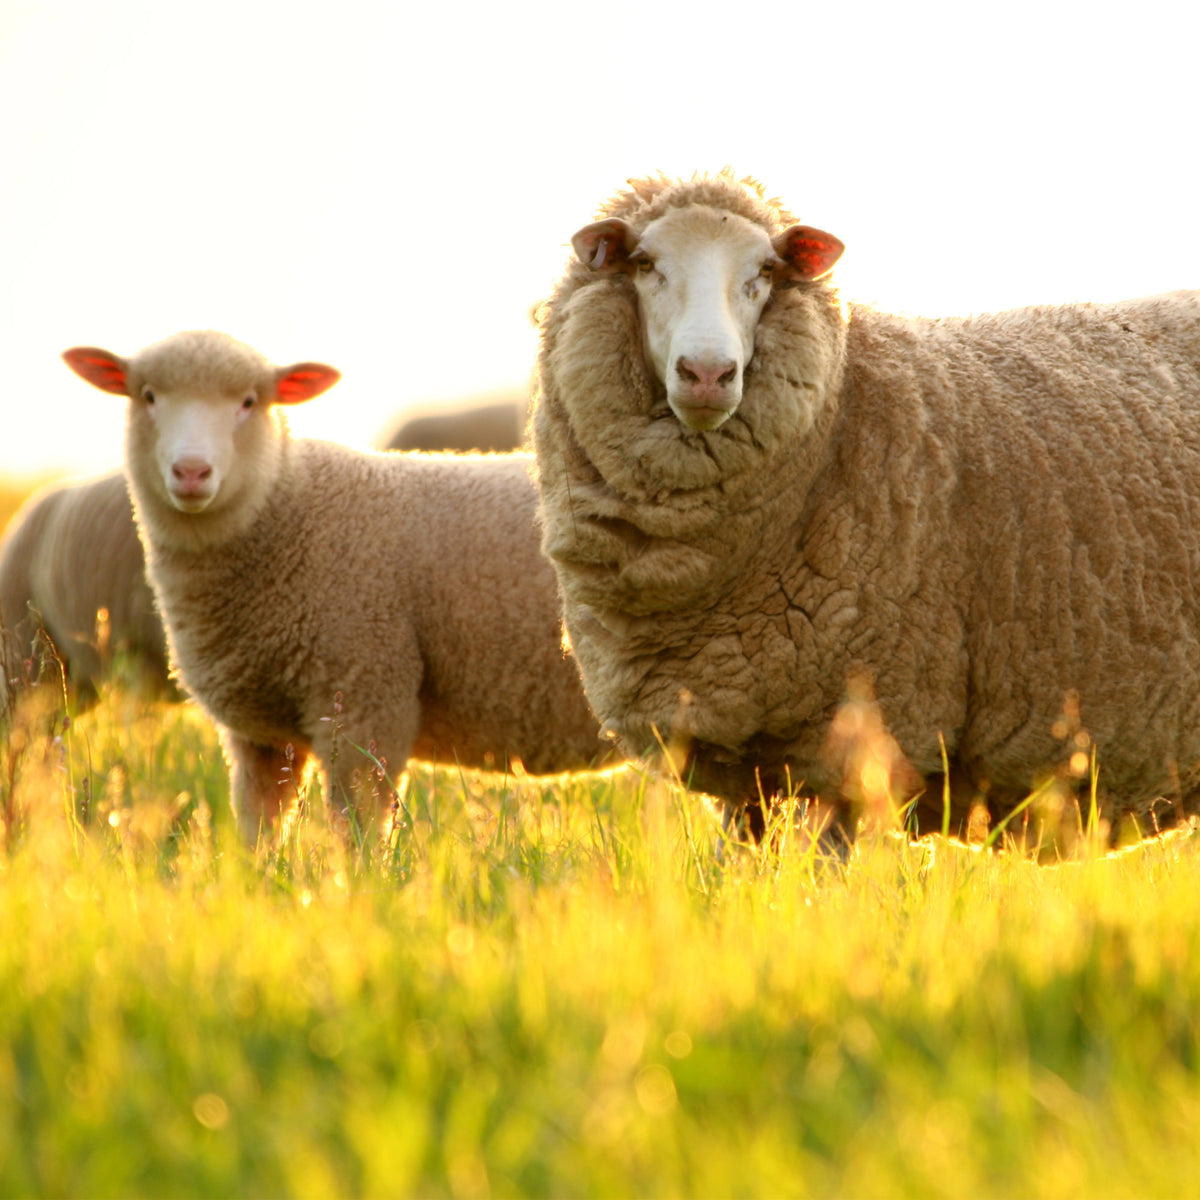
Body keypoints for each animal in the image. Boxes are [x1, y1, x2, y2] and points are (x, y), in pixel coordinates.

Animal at [63, 330, 611, 842]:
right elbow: (259, 830)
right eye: (149, 396)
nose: (192, 471)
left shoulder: (367, 694)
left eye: (249, 402)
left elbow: (359, 831)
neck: (288, 508)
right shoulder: (258, 736)